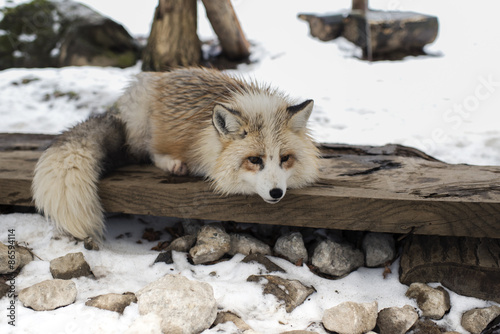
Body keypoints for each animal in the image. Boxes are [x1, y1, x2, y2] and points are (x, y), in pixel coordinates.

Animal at [32, 67, 320, 243]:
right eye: (254, 160)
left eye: (285, 158)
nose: (276, 193)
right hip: (142, 125)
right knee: (146, 153)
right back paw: (174, 164)